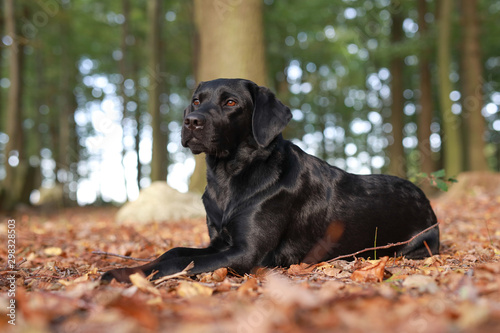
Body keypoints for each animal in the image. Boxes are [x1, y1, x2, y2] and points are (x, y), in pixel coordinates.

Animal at [101, 78, 438, 282]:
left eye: (231, 103)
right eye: (196, 101)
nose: (191, 122)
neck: (228, 178)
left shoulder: (246, 252)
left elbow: (177, 263)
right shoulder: (219, 242)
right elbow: (172, 253)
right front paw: (125, 270)